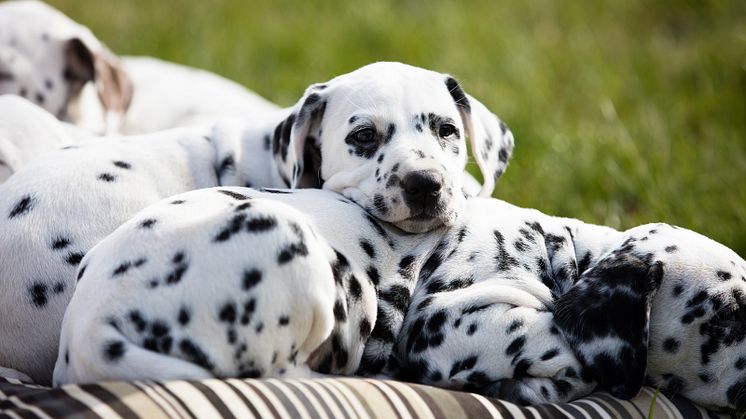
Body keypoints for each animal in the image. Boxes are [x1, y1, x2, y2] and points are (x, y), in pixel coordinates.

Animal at [53, 185, 744, 412]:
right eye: (731, 315)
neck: (556, 251)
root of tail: (92, 328)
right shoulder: (446, 321)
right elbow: (560, 344)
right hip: (310, 259)